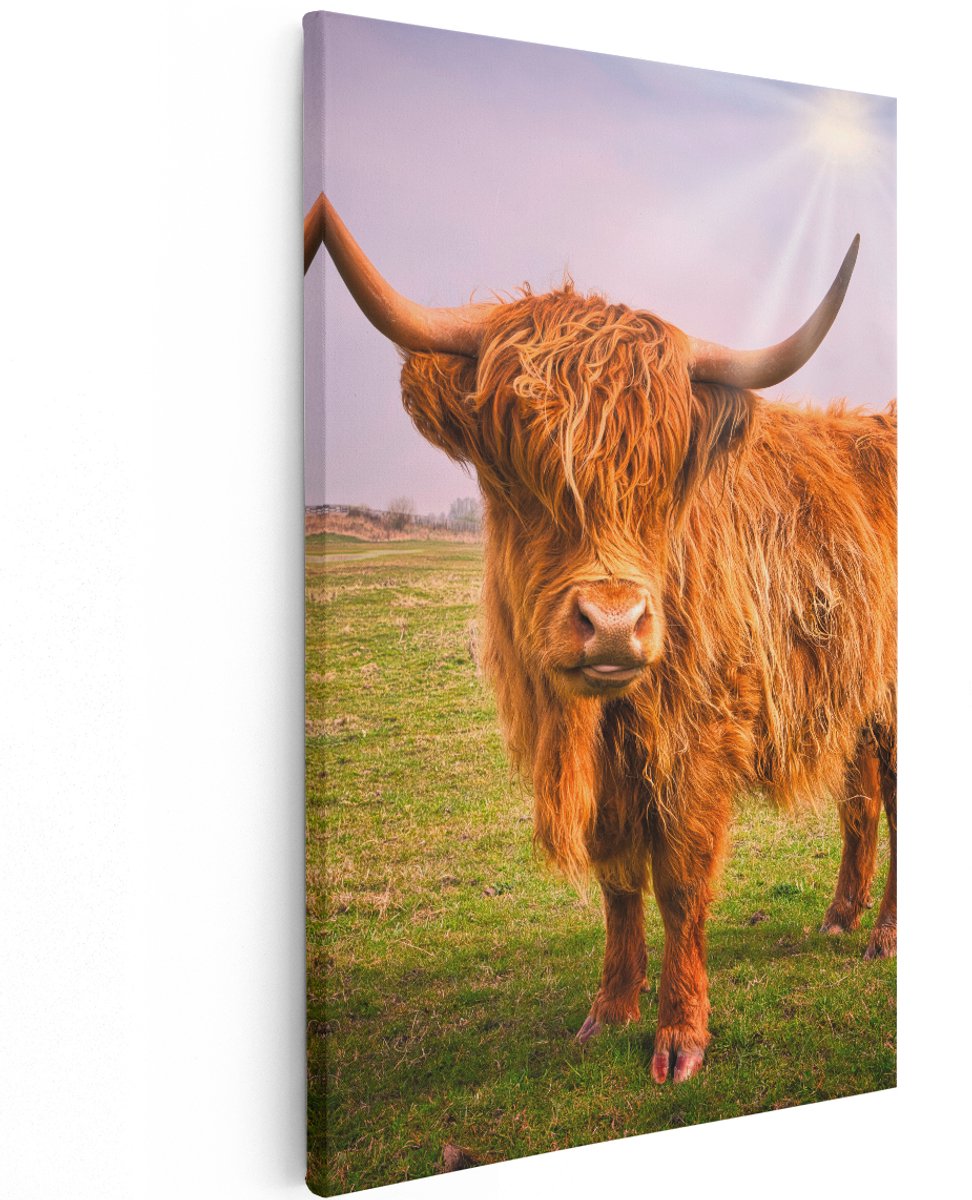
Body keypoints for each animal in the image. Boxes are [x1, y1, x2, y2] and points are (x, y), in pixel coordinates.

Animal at [304, 194, 896, 1084]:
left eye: (664, 476)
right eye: (516, 466)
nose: (613, 623)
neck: (604, 720)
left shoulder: (700, 739)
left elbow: (680, 880)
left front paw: (680, 1035)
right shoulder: (613, 767)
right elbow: (619, 876)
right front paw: (611, 1009)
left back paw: (884, 936)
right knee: (862, 801)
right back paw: (839, 916)